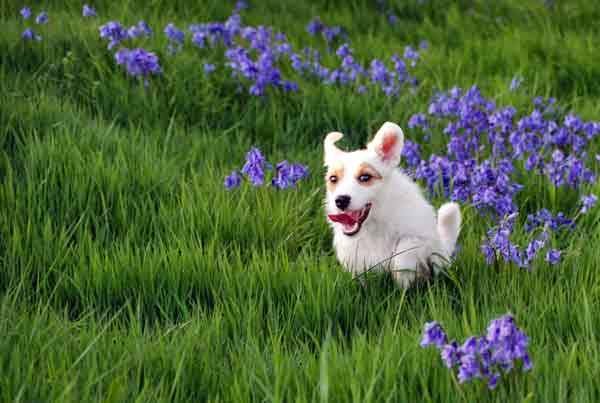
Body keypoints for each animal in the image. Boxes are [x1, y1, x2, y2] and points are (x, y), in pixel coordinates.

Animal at [326, 121, 462, 288]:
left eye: (365, 177)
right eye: (333, 179)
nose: (340, 201)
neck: (374, 225)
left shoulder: (422, 239)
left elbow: (403, 250)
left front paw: (402, 283)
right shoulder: (353, 253)